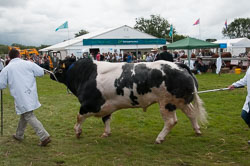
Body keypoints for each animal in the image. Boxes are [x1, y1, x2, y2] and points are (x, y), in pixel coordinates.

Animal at [51, 57, 207, 143]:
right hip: (181, 101)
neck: (86, 74)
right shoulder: (106, 106)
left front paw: (77, 131)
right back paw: (197, 130)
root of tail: (178, 64)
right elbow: (106, 119)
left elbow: (79, 117)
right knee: (191, 114)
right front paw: (106, 133)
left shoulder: (90, 104)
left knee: (171, 121)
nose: (51, 74)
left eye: (59, 68)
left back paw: (159, 138)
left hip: (167, 103)